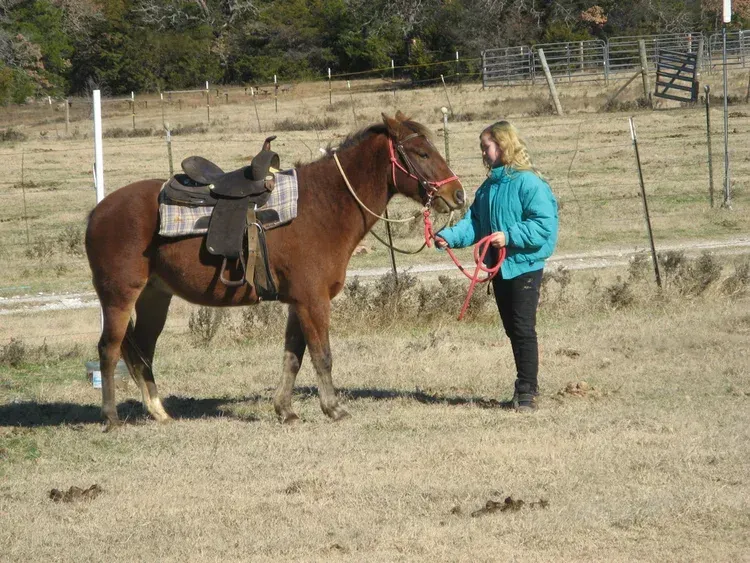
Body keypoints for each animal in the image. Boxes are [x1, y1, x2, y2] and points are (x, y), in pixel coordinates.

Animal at [85, 111, 465, 429]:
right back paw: (111, 418)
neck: (322, 206)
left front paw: (286, 410)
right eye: (421, 154)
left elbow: (293, 357)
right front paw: (334, 408)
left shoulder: (298, 302)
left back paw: (159, 412)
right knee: (109, 349)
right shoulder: (313, 301)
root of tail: (98, 212)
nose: (458, 194)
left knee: (143, 349)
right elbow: (322, 355)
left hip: (155, 297)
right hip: (119, 297)